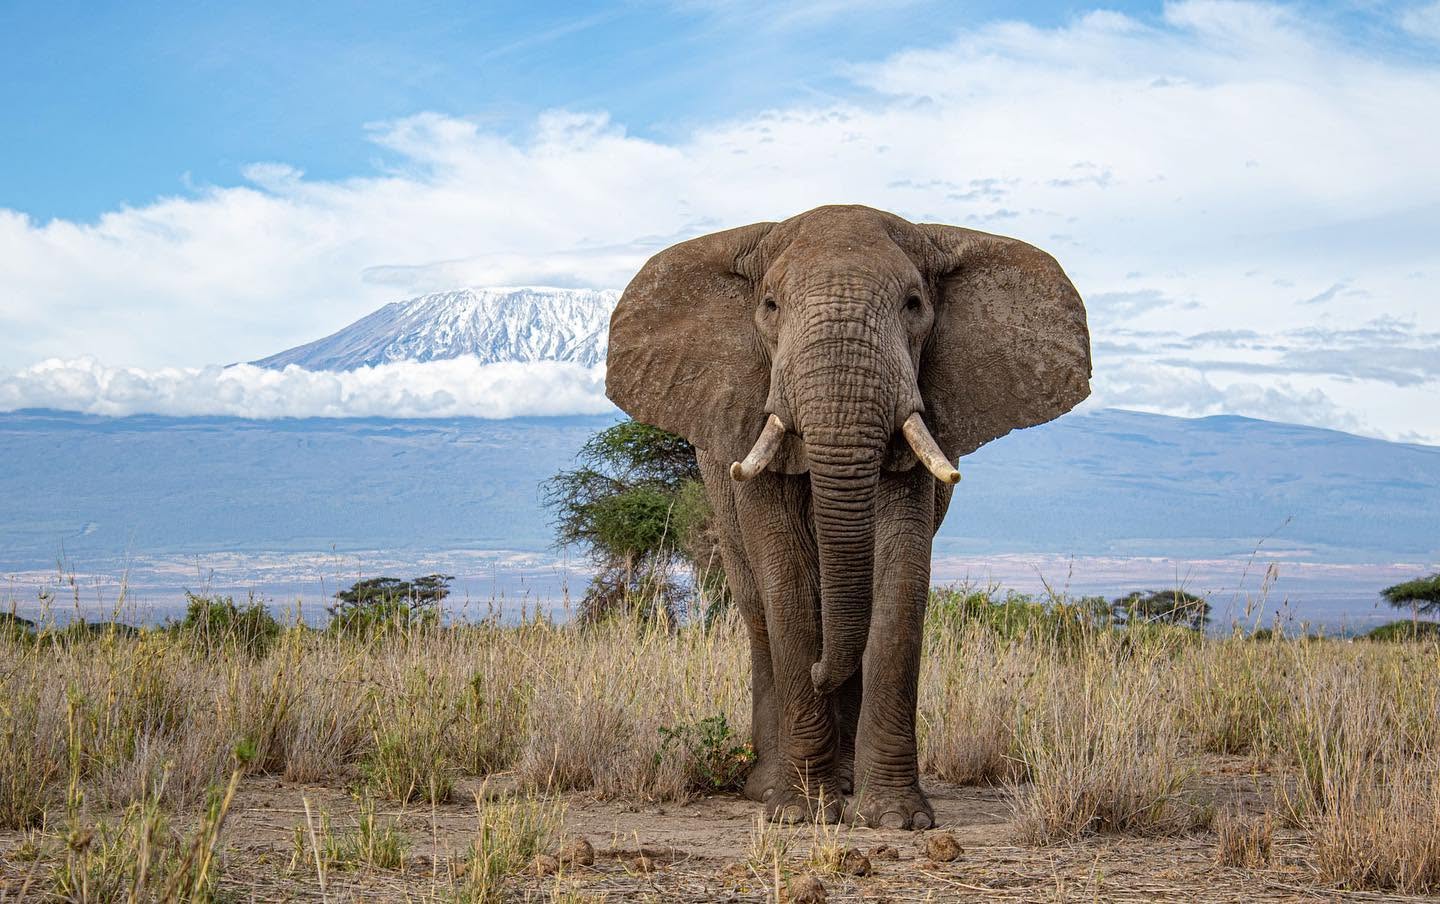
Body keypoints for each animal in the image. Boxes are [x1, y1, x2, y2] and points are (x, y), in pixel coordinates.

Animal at [604, 204, 1091, 828]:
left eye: (914, 304)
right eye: (769, 305)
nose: (820, 670)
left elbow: (899, 578)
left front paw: (897, 818)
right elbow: (786, 580)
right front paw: (799, 813)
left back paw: (847, 782)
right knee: (757, 609)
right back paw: (769, 785)